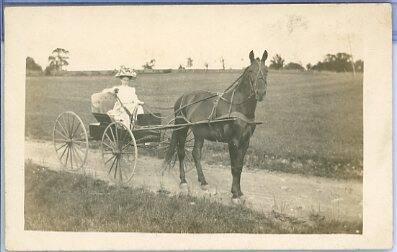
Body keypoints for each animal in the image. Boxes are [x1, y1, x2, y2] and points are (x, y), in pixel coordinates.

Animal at [164, 49, 270, 203]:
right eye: (251, 71)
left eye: (266, 70)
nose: (260, 93)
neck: (238, 107)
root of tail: (183, 98)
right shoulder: (233, 142)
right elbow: (234, 167)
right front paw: (234, 195)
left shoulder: (245, 142)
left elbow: (239, 166)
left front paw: (239, 192)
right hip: (182, 128)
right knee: (181, 152)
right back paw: (183, 181)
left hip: (199, 132)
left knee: (196, 154)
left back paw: (203, 182)